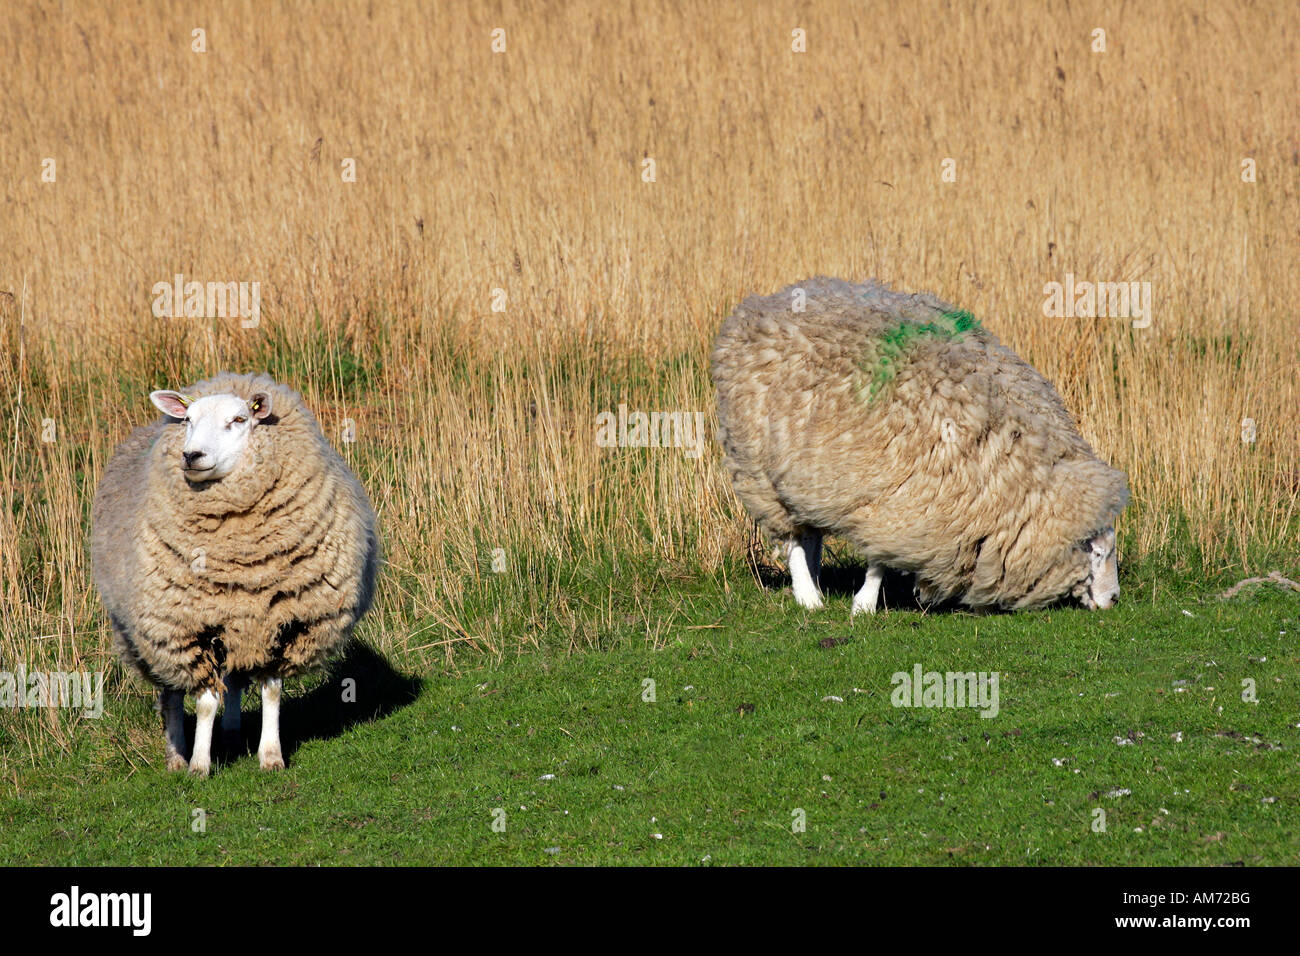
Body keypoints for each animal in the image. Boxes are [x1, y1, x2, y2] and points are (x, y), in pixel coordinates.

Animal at [88, 374, 377, 780]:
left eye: (239, 420)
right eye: (187, 419)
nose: (191, 456)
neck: (242, 556)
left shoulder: (281, 622)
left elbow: (271, 691)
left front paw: (270, 756)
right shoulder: (193, 628)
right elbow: (206, 701)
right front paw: (199, 764)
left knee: (235, 678)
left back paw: (232, 732)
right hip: (157, 632)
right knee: (171, 692)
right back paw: (176, 756)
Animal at [712, 280, 1128, 616]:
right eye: (1095, 552)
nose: (1114, 599)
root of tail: (764, 303)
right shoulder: (900, 499)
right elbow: (879, 560)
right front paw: (864, 604)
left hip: (804, 471)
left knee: (810, 533)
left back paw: (815, 582)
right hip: (759, 471)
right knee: (795, 539)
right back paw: (808, 596)